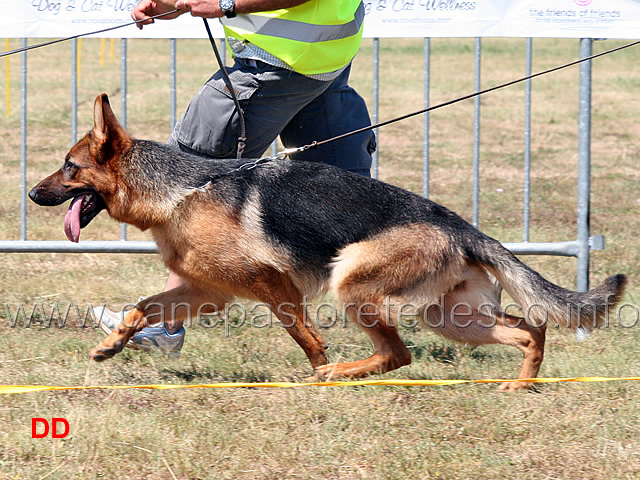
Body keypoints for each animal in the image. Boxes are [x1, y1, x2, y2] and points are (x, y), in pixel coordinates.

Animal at [28, 94, 624, 390]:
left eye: (69, 168)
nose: (32, 193)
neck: (182, 190)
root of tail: (462, 226)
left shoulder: (271, 284)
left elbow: (304, 335)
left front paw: (318, 368)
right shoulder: (206, 292)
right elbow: (141, 307)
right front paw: (112, 344)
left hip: (354, 284)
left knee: (398, 353)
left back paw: (339, 375)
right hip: (451, 318)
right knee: (527, 330)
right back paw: (523, 386)